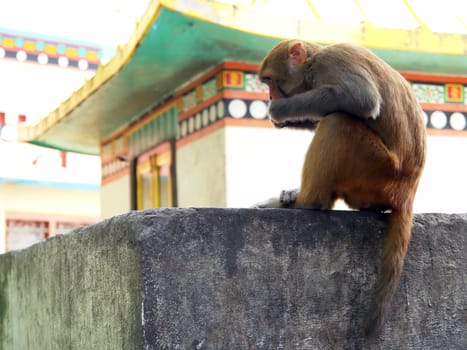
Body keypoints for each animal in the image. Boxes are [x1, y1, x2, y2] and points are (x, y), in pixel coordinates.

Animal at [256, 39, 428, 338]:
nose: (269, 95)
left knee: (338, 121)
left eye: (269, 81)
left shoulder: (332, 61)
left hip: (377, 169)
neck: (312, 66)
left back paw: (308, 202)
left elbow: (360, 98)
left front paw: (279, 110)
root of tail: (407, 191)